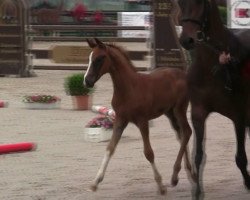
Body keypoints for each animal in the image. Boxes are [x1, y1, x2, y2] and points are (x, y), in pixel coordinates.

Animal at [84, 37, 195, 194]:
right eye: (89, 58)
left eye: (99, 58)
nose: (87, 81)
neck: (129, 88)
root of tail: (182, 74)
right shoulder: (120, 120)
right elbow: (110, 148)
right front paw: (95, 182)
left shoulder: (142, 121)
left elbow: (148, 153)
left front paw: (160, 185)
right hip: (170, 113)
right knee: (181, 135)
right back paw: (188, 173)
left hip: (179, 109)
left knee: (187, 132)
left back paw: (175, 176)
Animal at [178, 0, 250, 198]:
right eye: (180, 3)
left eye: (201, 3)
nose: (186, 40)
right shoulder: (198, 113)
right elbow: (198, 156)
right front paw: (197, 192)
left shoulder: (239, 116)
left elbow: (241, 158)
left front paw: (249, 183)